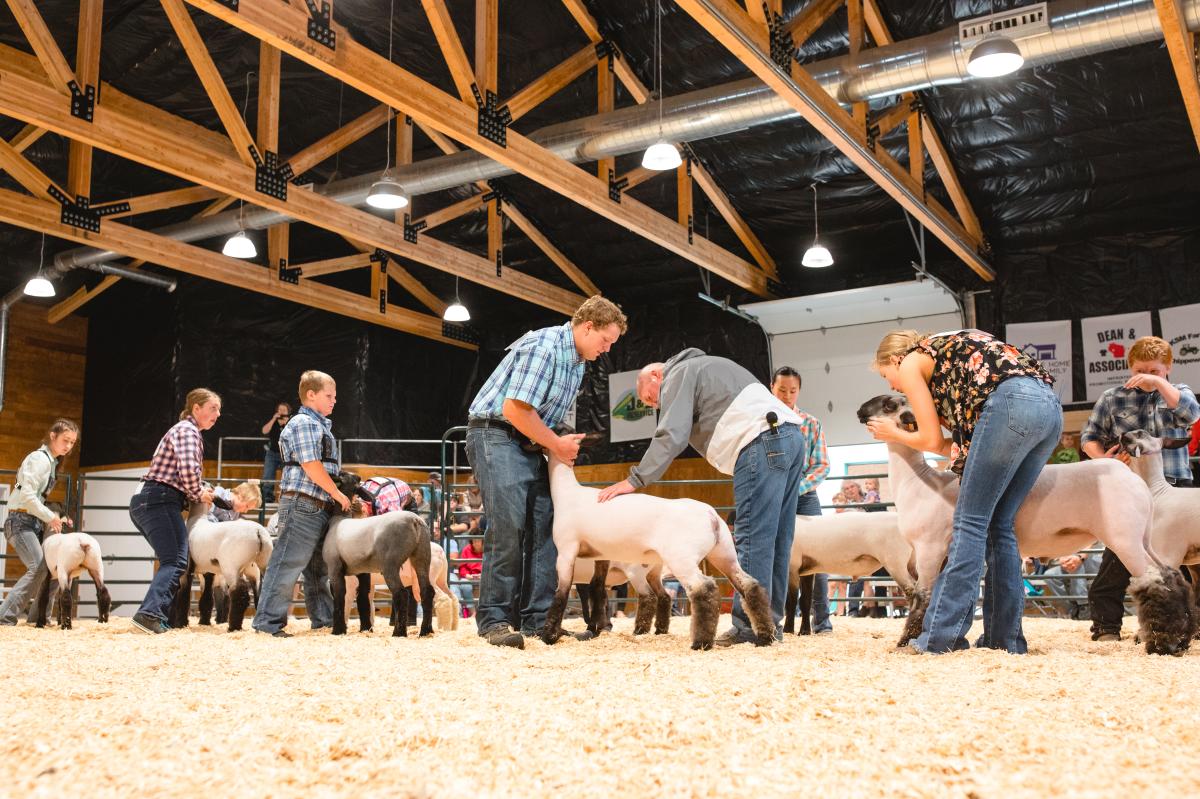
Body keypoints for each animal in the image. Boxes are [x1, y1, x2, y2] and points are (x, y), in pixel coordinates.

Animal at [170, 499, 273, 628]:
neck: (197, 519)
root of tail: (258, 532)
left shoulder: (188, 568)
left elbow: (183, 593)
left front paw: (180, 623)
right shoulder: (209, 570)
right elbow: (207, 596)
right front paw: (204, 622)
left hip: (231, 566)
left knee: (239, 592)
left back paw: (233, 627)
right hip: (261, 565)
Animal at [547, 448, 772, 647]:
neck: (567, 493)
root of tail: (711, 515)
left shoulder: (567, 550)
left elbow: (562, 593)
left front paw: (550, 634)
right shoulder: (601, 554)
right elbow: (596, 590)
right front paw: (595, 629)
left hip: (679, 560)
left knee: (702, 590)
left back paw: (700, 642)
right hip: (723, 554)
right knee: (749, 585)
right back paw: (765, 636)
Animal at [864, 393, 1190, 652]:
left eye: (889, 403)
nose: (861, 410)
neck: (918, 481)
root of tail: (1138, 484)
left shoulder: (929, 548)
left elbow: (923, 597)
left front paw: (908, 642)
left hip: (1124, 537)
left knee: (1155, 583)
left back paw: (1163, 643)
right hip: (1143, 538)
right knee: (1172, 576)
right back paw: (1185, 636)